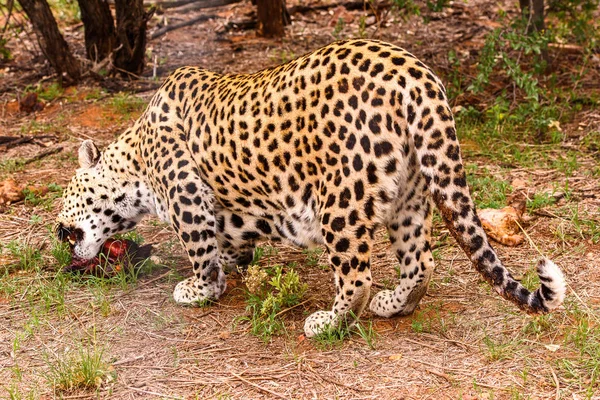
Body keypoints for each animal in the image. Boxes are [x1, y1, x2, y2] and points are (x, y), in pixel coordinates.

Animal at [54, 39, 564, 338]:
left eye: (63, 222)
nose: (62, 244)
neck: (133, 160)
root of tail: (416, 73)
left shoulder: (187, 197)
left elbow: (201, 250)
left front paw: (199, 289)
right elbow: (231, 243)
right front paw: (233, 270)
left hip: (340, 198)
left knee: (357, 275)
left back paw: (327, 322)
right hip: (411, 190)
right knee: (421, 260)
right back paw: (395, 306)